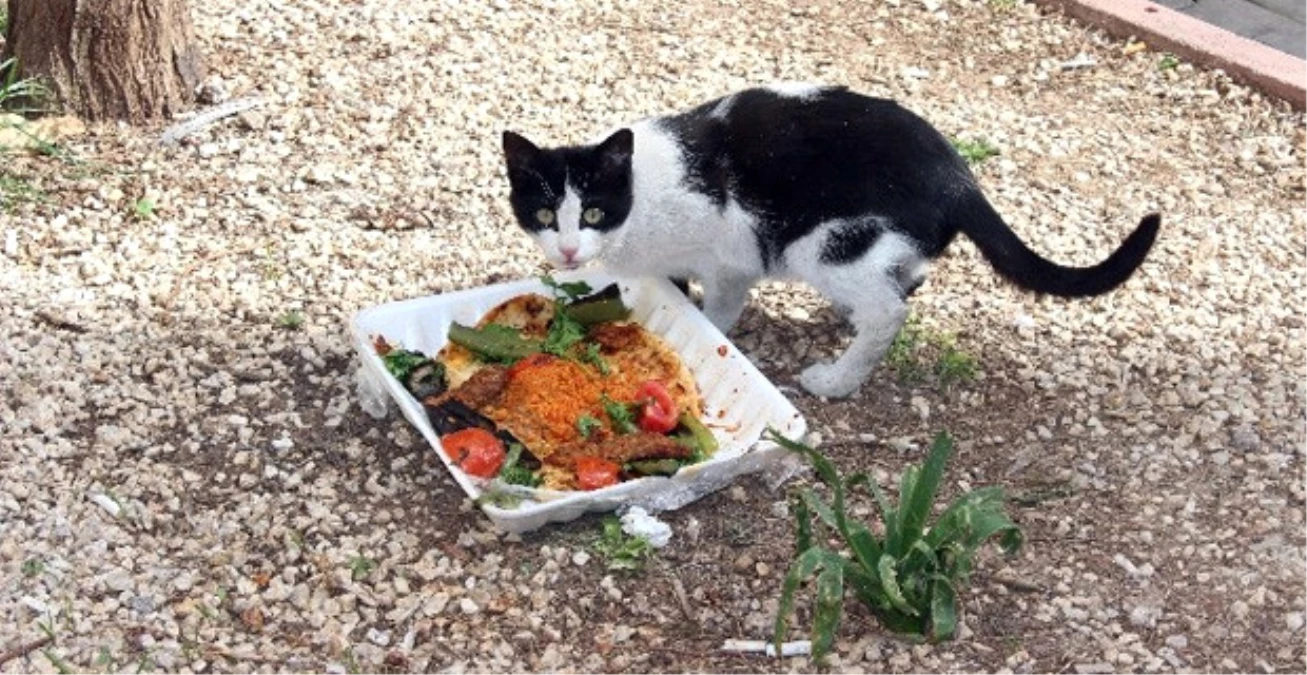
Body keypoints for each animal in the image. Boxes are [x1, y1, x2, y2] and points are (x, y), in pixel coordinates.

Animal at [501, 84, 1165, 400]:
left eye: (592, 210)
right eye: (543, 212)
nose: (567, 251)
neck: (642, 196)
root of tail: (958, 177)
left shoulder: (729, 253)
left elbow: (719, 306)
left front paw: (712, 328)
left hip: (824, 243)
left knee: (888, 311)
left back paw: (839, 378)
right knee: (906, 278)